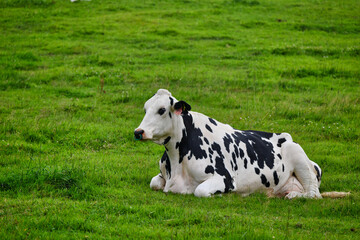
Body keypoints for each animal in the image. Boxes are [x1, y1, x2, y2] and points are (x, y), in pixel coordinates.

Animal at [134, 89, 348, 199]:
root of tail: (286, 136)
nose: (138, 132)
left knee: (313, 194)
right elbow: (154, 183)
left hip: (299, 157)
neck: (177, 159)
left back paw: (293, 196)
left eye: (162, 110)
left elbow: (200, 191)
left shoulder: (224, 178)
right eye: (145, 109)